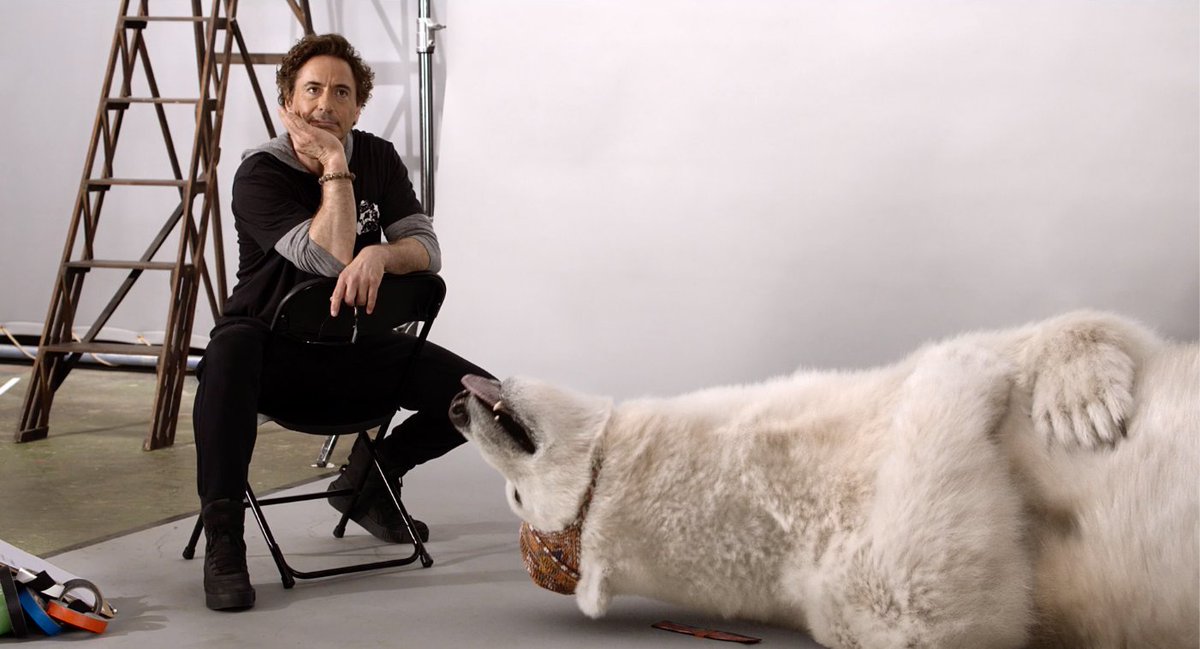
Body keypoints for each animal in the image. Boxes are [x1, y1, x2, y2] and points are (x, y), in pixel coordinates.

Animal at [449, 311, 1198, 649]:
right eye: (516, 497)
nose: (458, 408)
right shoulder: (816, 570)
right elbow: (937, 596)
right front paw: (959, 365)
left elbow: (1102, 339)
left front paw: (1081, 400)